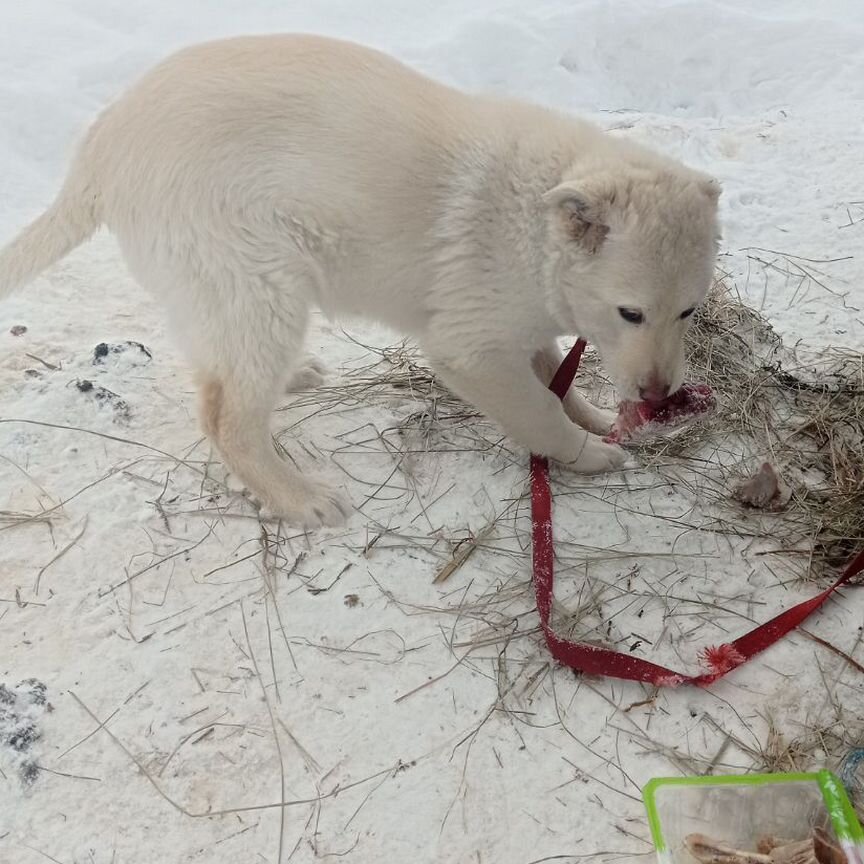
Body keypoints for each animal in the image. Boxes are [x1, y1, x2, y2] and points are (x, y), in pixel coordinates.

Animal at [0, 35, 720, 528]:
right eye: (630, 313)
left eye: (689, 312)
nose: (658, 395)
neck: (536, 219)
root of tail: (100, 148)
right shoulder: (469, 347)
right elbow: (537, 408)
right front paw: (588, 453)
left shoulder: (516, 322)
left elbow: (554, 378)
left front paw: (593, 419)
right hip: (259, 285)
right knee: (227, 419)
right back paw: (299, 499)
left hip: (226, 295)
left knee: (219, 376)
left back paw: (291, 379)